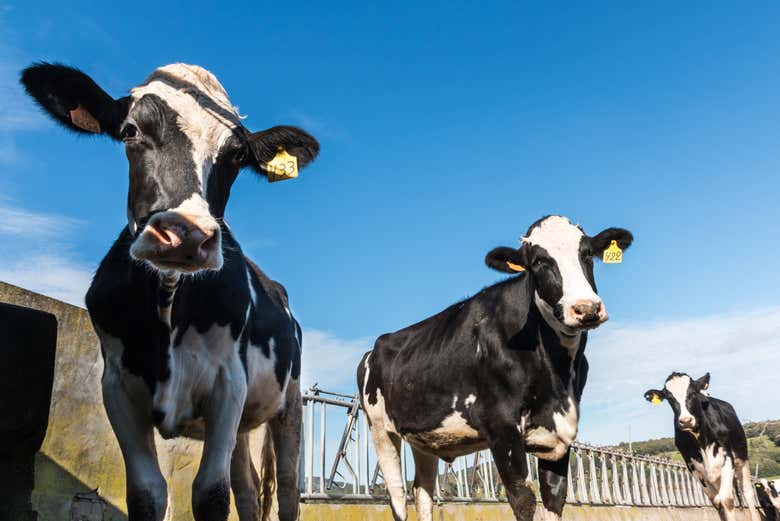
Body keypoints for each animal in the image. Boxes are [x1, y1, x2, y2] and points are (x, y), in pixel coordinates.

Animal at [21, 62, 320, 520]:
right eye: (129, 131)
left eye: (237, 155)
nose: (186, 234)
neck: (169, 303)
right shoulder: (118, 387)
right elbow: (147, 493)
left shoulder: (227, 383)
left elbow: (211, 493)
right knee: (247, 486)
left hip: (288, 405)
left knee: (285, 489)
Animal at [360, 215, 632, 520]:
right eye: (539, 261)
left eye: (586, 253)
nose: (586, 309)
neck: (557, 375)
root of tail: (377, 345)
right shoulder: (501, 426)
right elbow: (523, 500)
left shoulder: (561, 432)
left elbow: (554, 496)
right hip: (381, 430)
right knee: (397, 493)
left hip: (424, 438)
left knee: (423, 492)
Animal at [644, 372, 760, 516]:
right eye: (669, 398)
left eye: (693, 393)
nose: (686, 421)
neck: (701, 440)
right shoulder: (693, 467)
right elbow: (717, 502)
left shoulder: (727, 457)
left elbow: (727, 499)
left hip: (741, 459)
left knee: (747, 492)